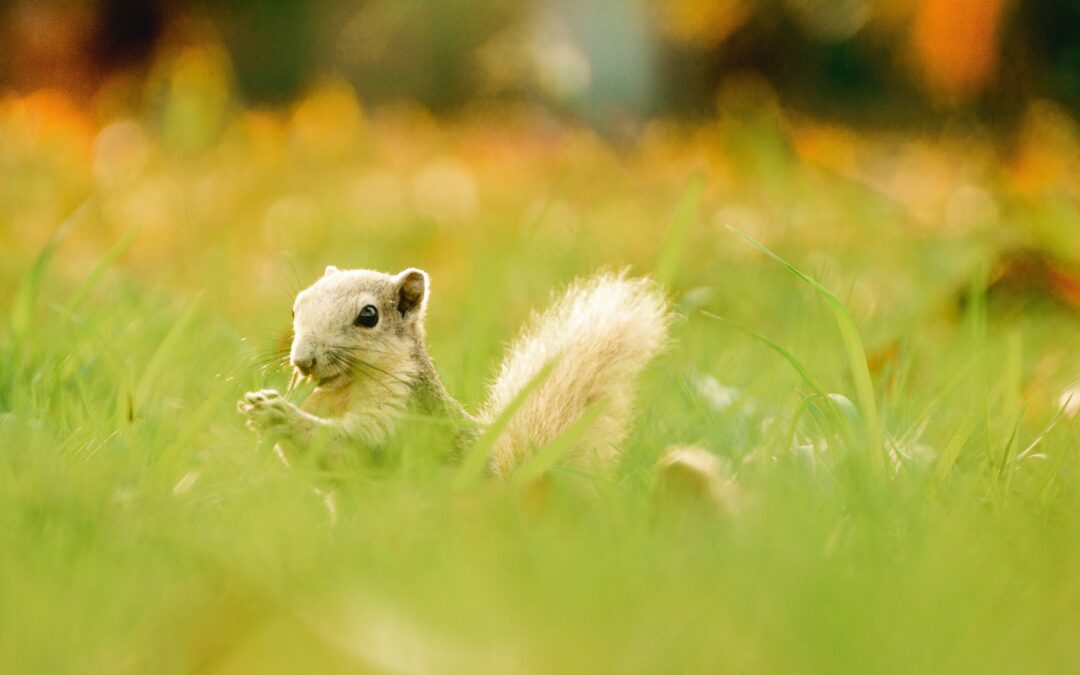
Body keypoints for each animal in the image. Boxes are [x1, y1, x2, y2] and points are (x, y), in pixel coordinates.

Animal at [237, 266, 671, 478]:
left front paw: (281, 414)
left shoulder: (402, 416)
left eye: (368, 315)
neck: (343, 392)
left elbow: (352, 446)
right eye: (296, 307)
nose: (303, 361)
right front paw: (259, 408)